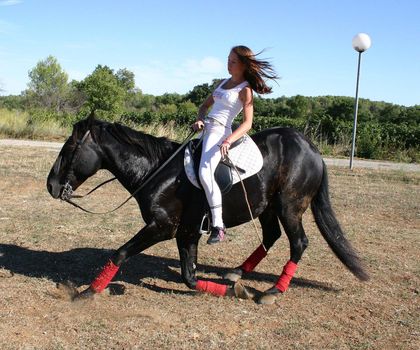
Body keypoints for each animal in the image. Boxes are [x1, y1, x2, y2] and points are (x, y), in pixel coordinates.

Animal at [46, 117, 368, 304]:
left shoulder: (163, 227)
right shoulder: (187, 233)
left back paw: (273, 291)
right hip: (266, 206)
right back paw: (237, 274)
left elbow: (121, 253)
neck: (156, 171)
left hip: (289, 206)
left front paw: (87, 292)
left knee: (298, 242)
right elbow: (188, 276)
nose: (51, 185)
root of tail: (312, 149)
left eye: (70, 149)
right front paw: (235, 291)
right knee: (271, 236)